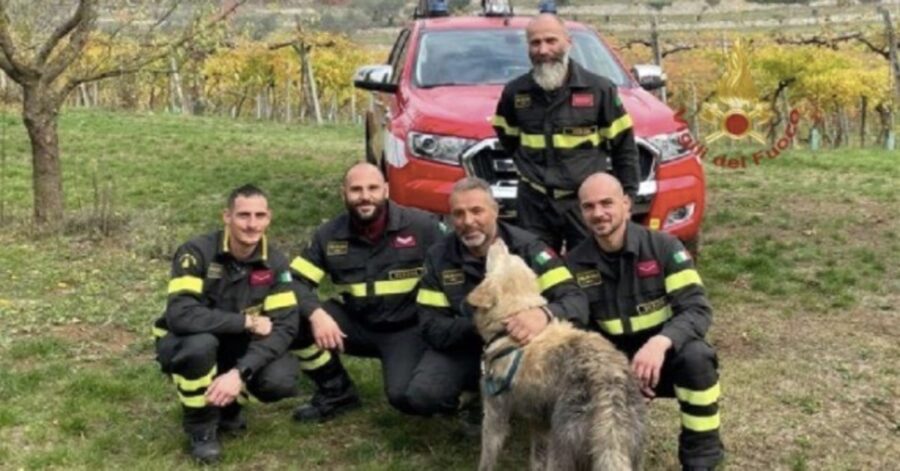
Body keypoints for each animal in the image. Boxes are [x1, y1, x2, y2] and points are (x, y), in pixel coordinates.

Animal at [468, 242, 644, 470]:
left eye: (504, 257)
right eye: (511, 255)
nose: (498, 241)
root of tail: (609, 396)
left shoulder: (494, 413)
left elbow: (487, 458)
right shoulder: (539, 422)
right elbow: (536, 460)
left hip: (562, 450)